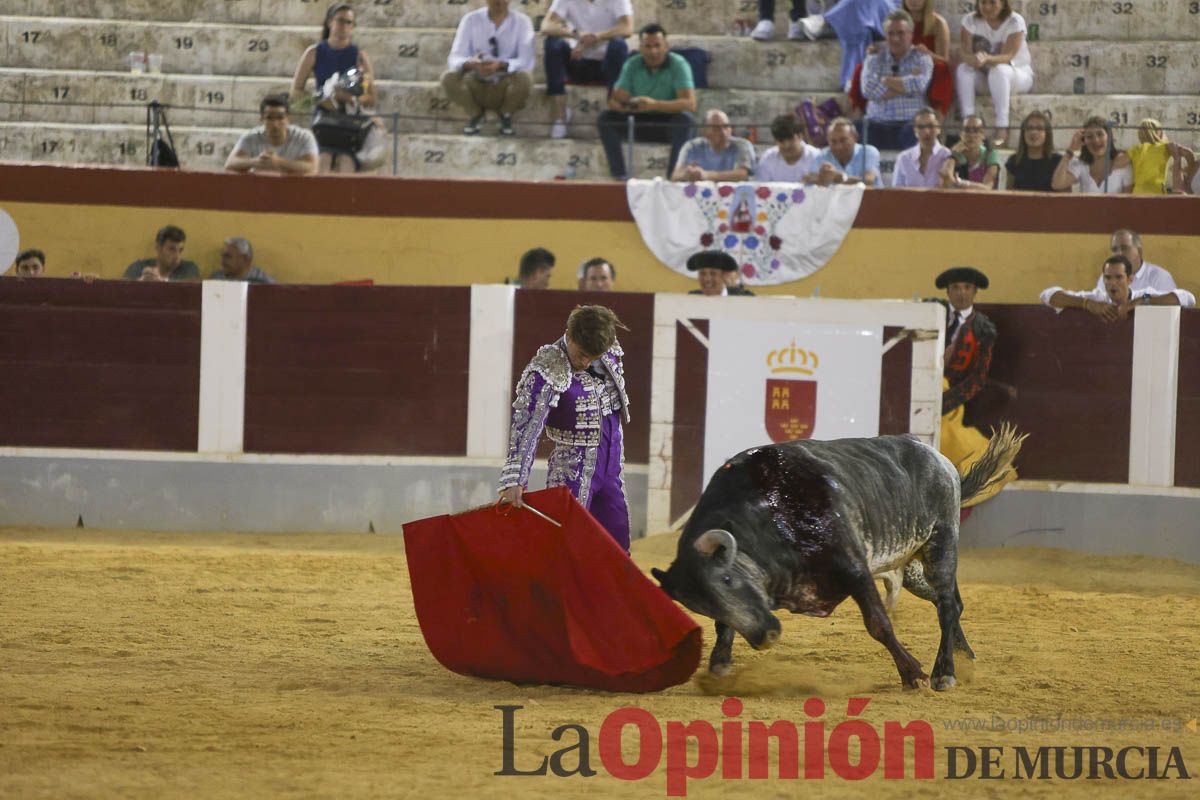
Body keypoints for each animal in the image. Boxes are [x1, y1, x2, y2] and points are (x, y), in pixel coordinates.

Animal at [652, 429, 1027, 690]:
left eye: (728, 580)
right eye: (702, 605)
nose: (766, 637)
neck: (769, 513)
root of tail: (940, 459)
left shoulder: (854, 568)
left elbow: (879, 624)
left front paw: (913, 674)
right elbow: (724, 624)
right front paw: (718, 665)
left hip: (941, 543)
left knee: (947, 604)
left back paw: (944, 673)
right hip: (913, 568)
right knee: (949, 602)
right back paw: (965, 659)